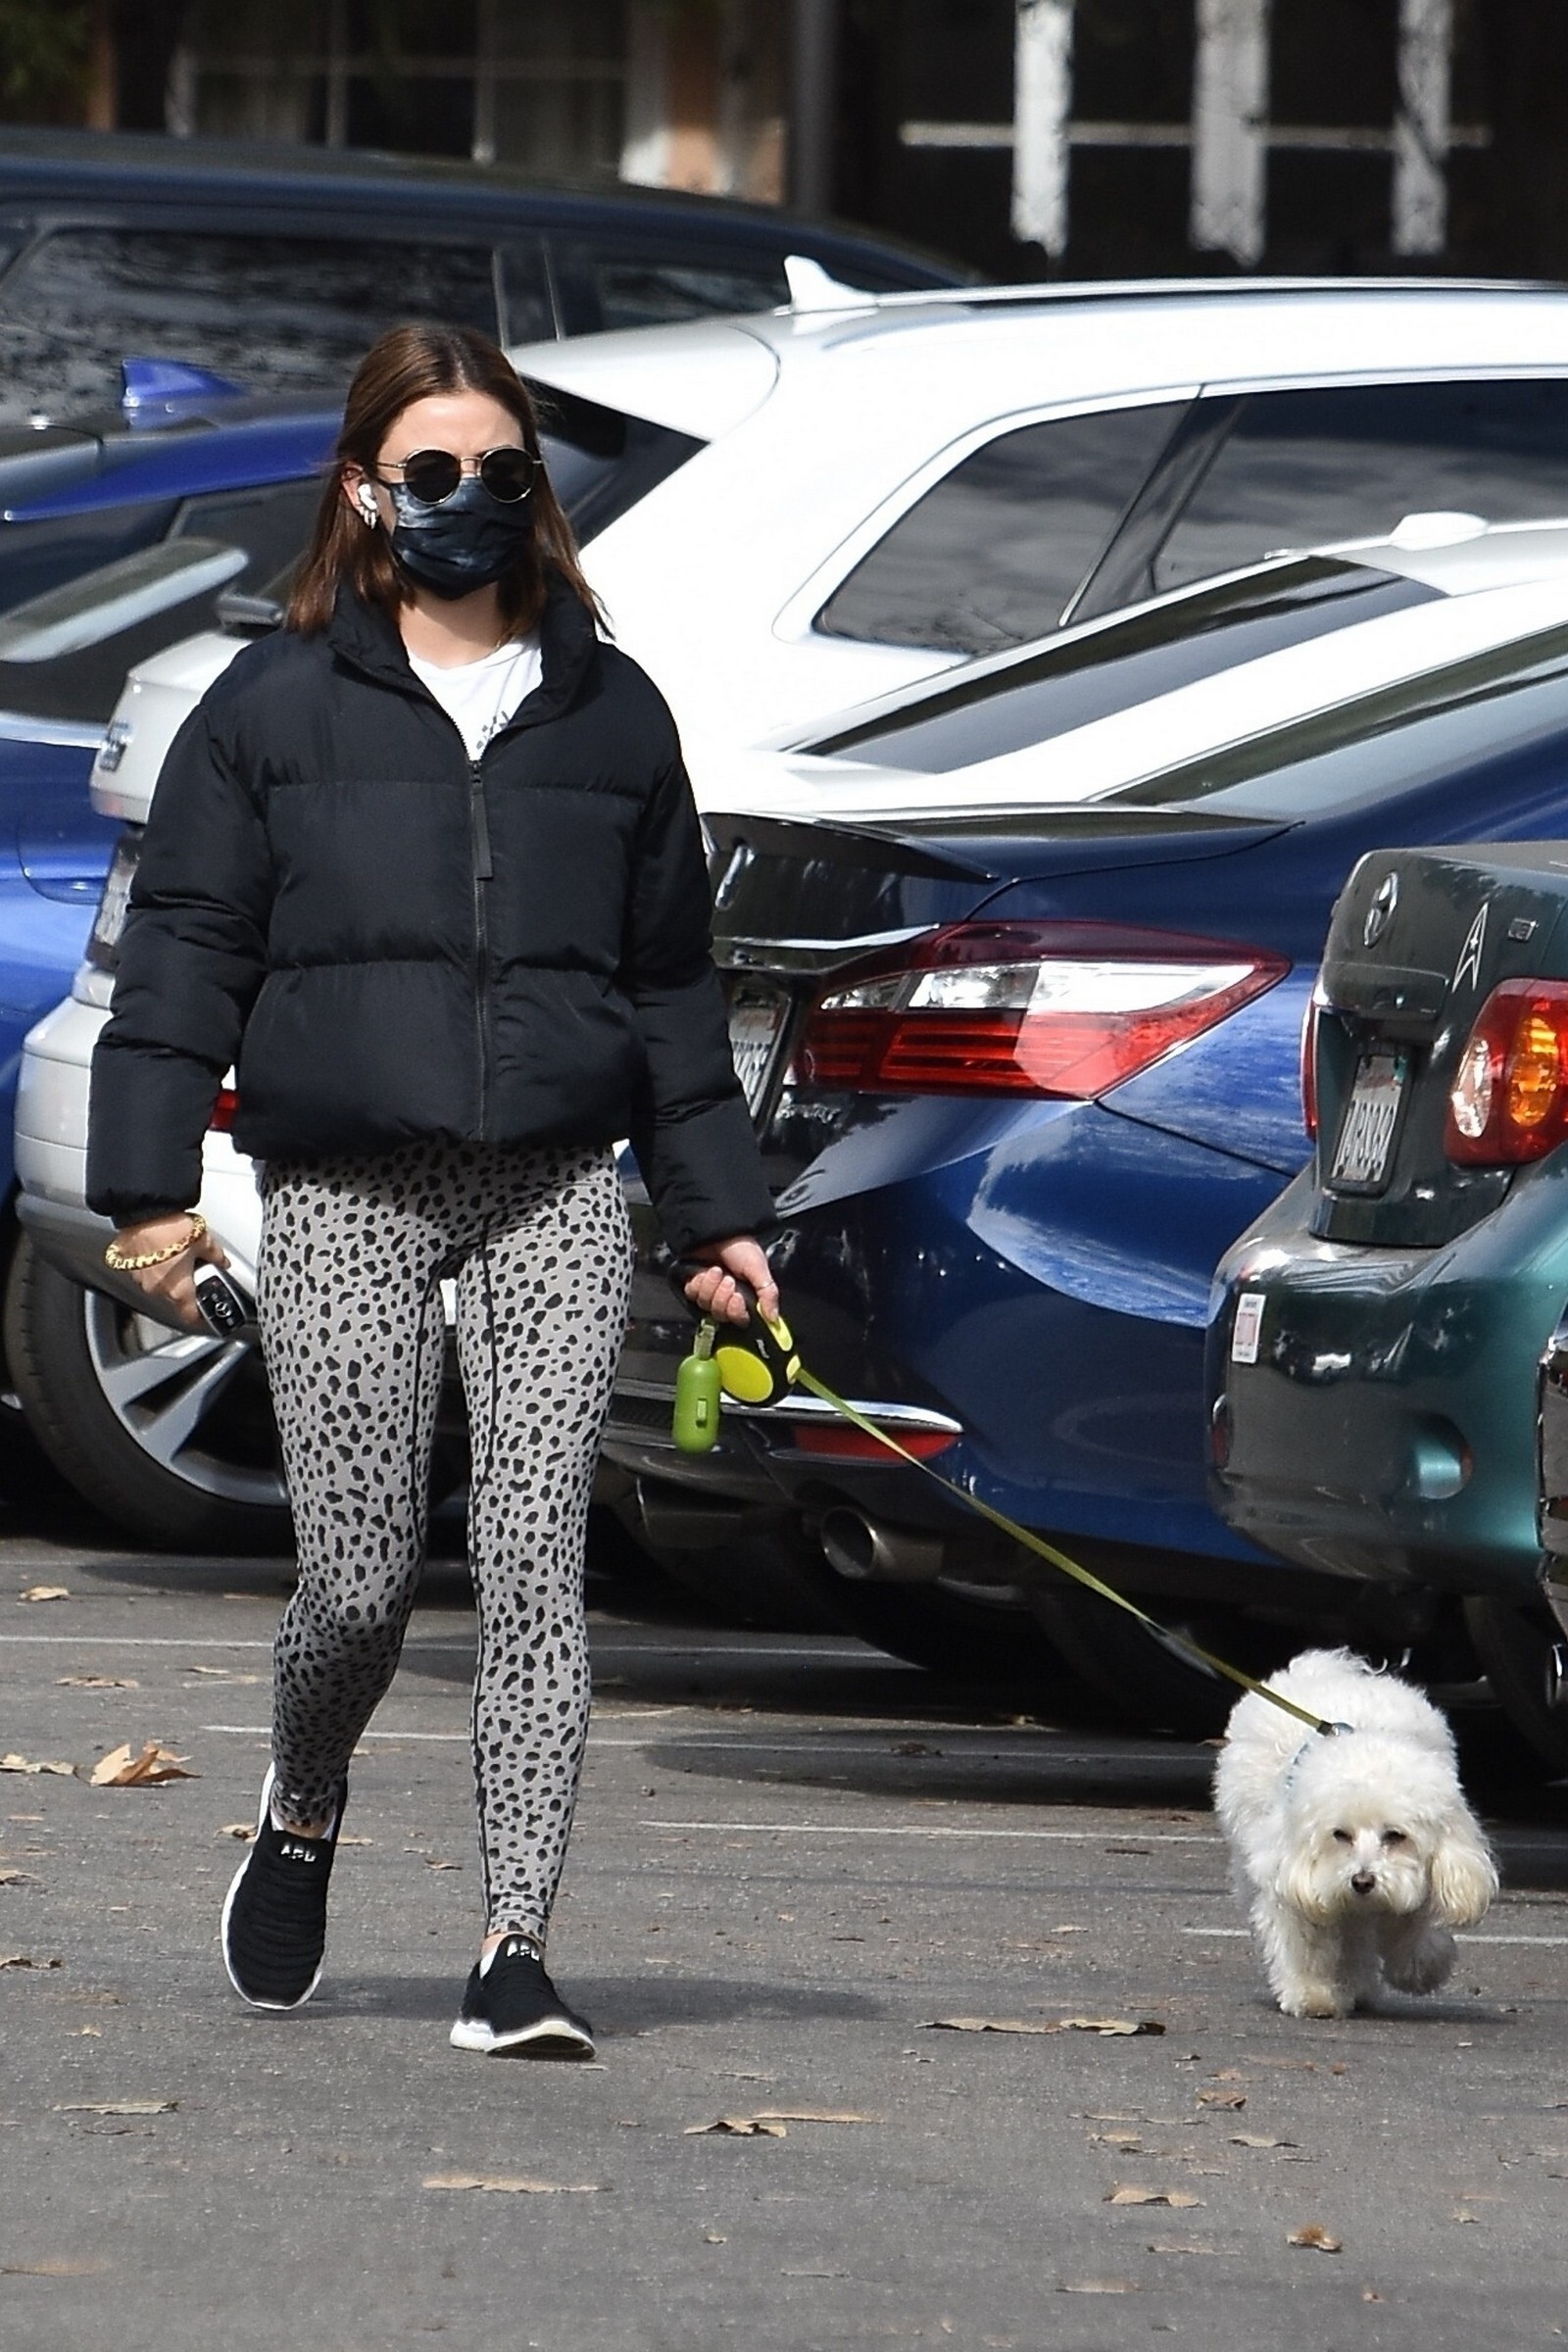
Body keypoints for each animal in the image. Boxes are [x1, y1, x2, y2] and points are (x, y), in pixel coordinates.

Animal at [1212, 1648, 1498, 2018]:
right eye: (1340, 1835)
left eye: (1395, 1836)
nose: (1362, 1882)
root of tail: (1316, 1669)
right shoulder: (1294, 1879)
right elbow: (1307, 1943)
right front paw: (1314, 1994)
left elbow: (1411, 1929)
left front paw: (1421, 1968)